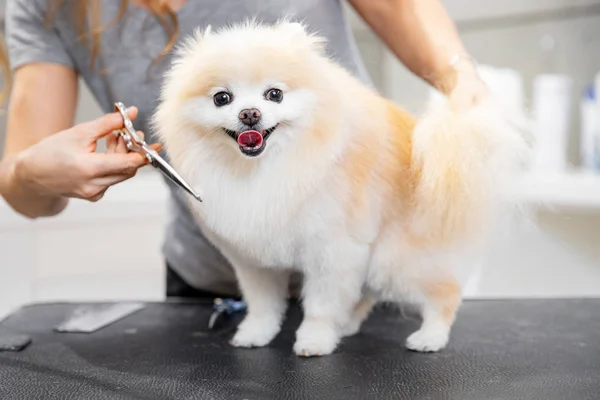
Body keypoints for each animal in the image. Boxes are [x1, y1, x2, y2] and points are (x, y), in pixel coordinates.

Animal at [152, 19, 528, 356]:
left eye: (274, 94)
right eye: (221, 98)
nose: (249, 113)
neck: (262, 169)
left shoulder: (332, 249)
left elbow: (321, 304)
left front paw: (315, 340)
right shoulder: (254, 260)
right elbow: (263, 304)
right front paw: (256, 333)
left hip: (394, 259)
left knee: (445, 292)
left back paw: (429, 337)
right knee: (367, 293)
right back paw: (348, 324)